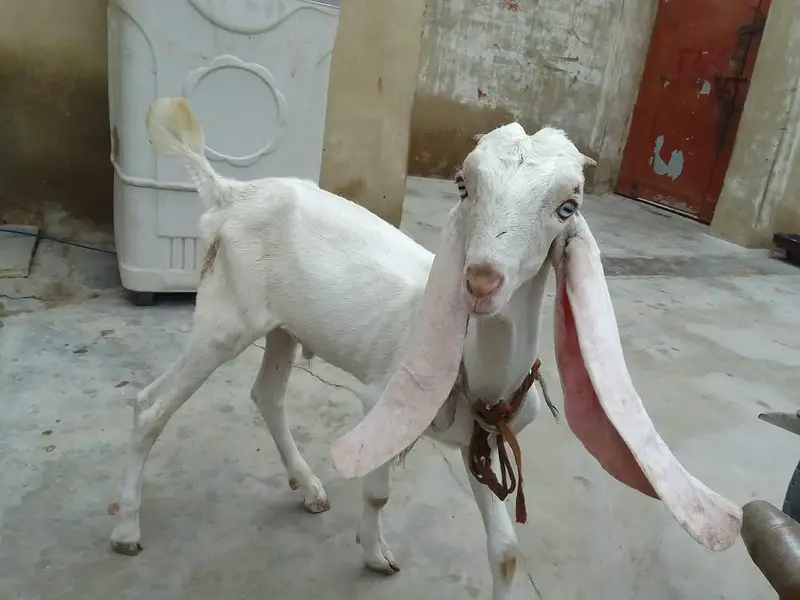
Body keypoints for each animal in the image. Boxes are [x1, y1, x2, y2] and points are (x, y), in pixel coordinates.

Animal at [109, 97, 743, 600]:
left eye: (569, 206)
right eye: (464, 185)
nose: (480, 282)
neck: (477, 369)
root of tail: (232, 192)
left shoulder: (479, 441)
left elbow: (506, 552)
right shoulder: (380, 403)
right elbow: (378, 493)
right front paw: (375, 555)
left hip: (284, 326)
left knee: (266, 393)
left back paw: (308, 488)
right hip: (225, 315)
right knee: (150, 405)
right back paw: (126, 531)